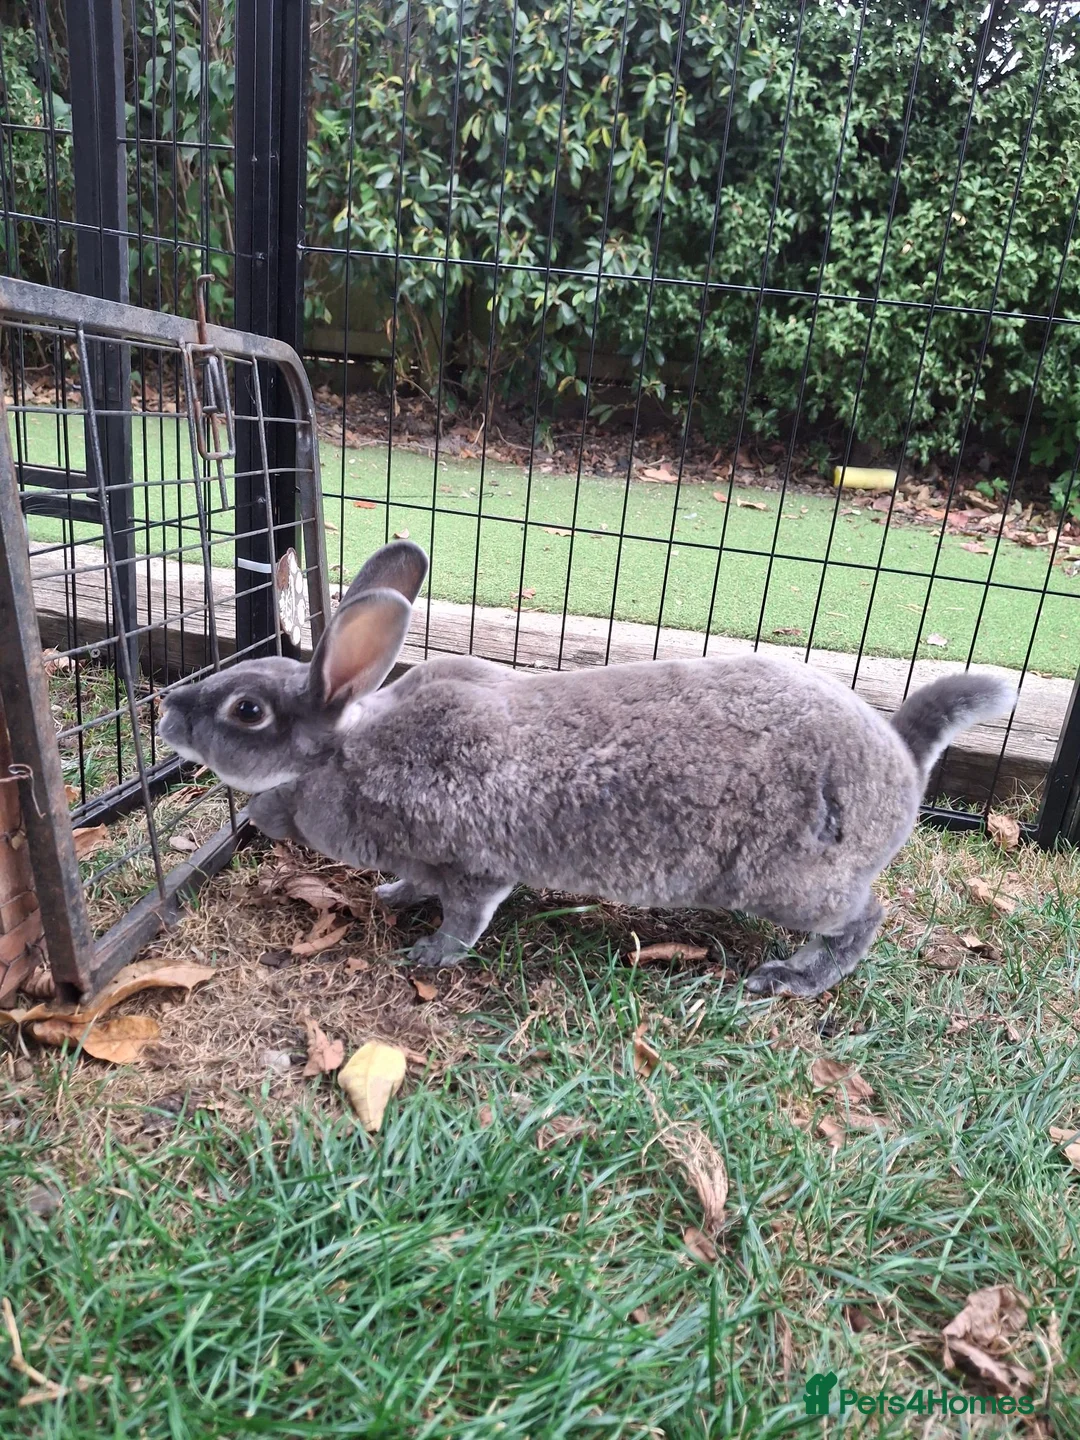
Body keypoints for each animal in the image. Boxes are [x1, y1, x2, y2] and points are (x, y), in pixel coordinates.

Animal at [158, 539, 1017, 996]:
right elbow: (416, 885)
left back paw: (792, 977)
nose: (167, 707)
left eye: (247, 711)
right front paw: (394, 895)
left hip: (793, 880)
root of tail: (902, 758)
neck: (345, 753)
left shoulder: (473, 861)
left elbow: (468, 913)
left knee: (864, 918)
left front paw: (430, 954)